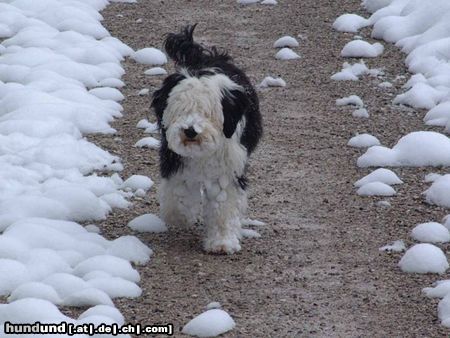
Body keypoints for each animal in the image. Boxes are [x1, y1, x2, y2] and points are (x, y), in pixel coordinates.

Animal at [152, 25, 262, 254]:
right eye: (181, 110)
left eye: (207, 113)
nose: (190, 131)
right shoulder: (175, 161)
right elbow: (178, 194)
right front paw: (181, 217)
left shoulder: (227, 171)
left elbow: (223, 205)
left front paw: (221, 242)